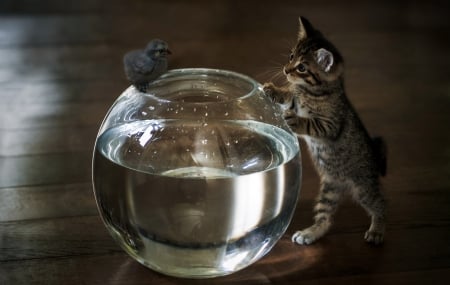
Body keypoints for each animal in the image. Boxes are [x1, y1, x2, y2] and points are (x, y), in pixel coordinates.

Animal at [264, 17, 386, 244]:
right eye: (291, 56)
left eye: (302, 67)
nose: (286, 70)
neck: (314, 91)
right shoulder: (296, 99)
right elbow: (290, 95)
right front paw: (274, 90)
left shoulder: (331, 125)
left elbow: (311, 123)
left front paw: (295, 120)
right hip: (329, 189)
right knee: (325, 218)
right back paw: (310, 233)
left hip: (363, 187)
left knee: (381, 204)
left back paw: (377, 230)